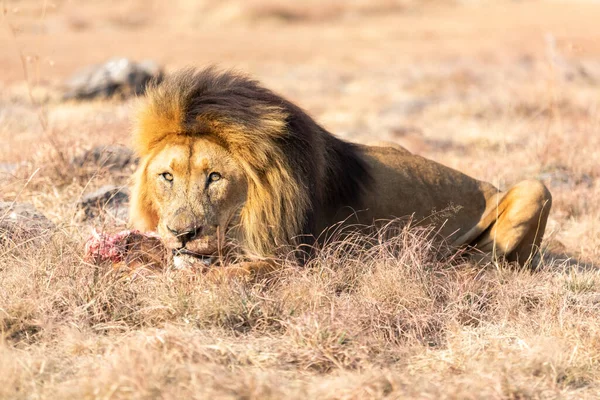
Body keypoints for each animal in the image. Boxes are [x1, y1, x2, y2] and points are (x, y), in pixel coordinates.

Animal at [129, 66, 552, 278]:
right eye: (167, 177)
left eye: (214, 177)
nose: (182, 234)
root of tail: (485, 184)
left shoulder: (292, 260)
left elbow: (227, 274)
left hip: (535, 190)